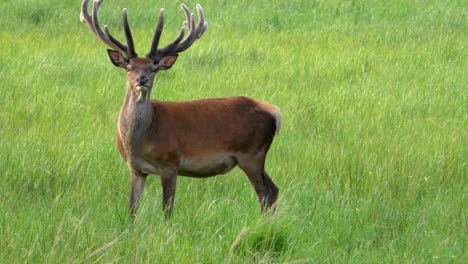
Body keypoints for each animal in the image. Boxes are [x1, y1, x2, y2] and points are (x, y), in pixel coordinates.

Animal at [80, 0, 282, 218]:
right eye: (129, 67)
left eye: (153, 68)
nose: (142, 80)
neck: (140, 140)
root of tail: (275, 113)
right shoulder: (136, 169)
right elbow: (132, 208)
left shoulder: (170, 163)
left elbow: (167, 209)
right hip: (254, 155)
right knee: (274, 190)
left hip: (252, 153)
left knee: (265, 194)